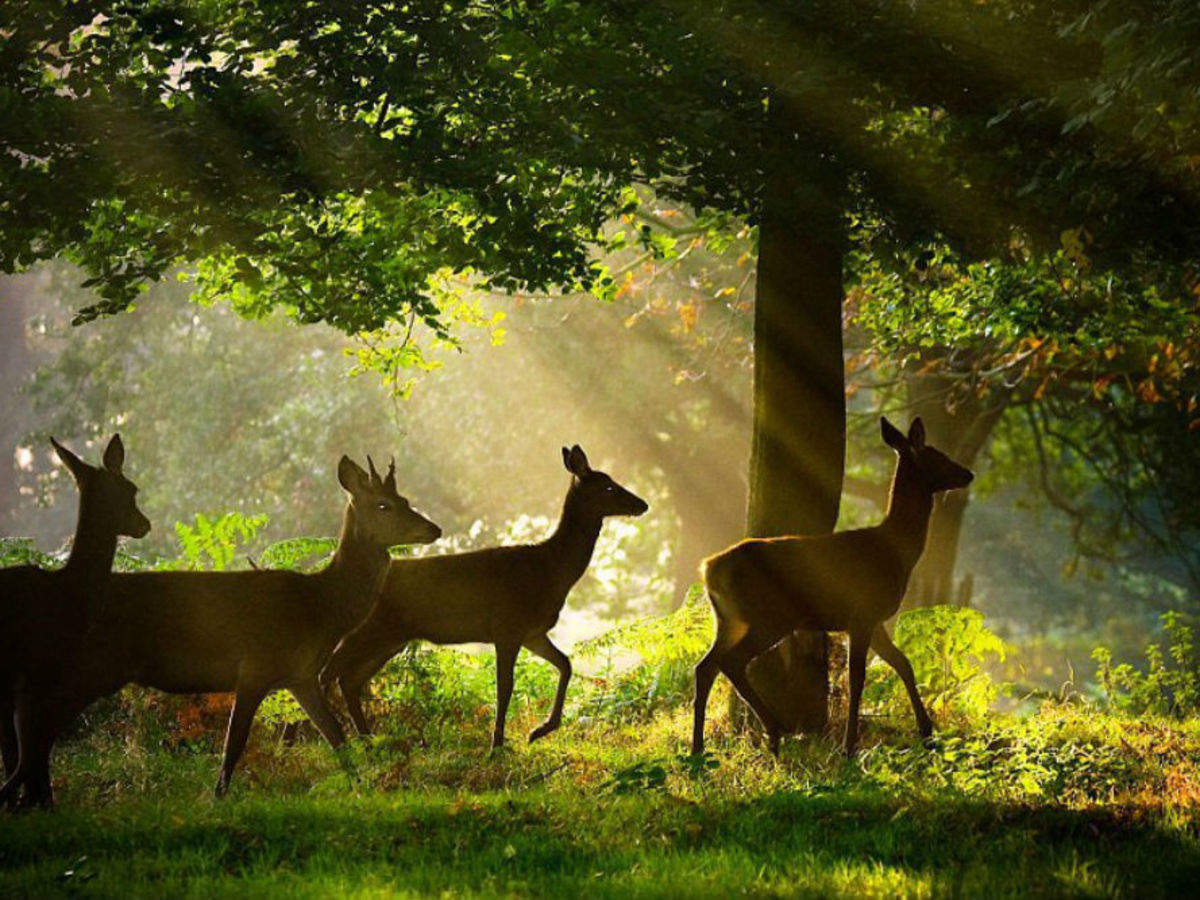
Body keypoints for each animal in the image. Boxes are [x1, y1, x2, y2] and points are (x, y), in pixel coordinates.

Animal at [1, 436, 151, 811]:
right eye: (131, 489)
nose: (144, 524)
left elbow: (20, 750)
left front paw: (28, 803)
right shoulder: (36, 675)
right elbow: (32, 749)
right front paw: (36, 803)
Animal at [696, 420, 974, 758]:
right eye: (937, 455)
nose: (968, 474)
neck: (896, 551)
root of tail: (709, 569)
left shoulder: (875, 618)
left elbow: (903, 663)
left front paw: (927, 732)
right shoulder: (862, 613)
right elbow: (857, 678)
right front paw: (848, 747)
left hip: (728, 619)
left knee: (705, 666)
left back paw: (698, 748)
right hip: (769, 616)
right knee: (730, 662)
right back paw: (774, 733)